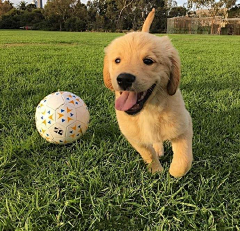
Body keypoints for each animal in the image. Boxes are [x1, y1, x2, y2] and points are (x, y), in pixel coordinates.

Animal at [103, 7, 193, 177]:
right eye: (117, 60)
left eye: (148, 61)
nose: (124, 79)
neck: (148, 111)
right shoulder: (133, 136)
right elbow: (147, 152)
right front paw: (156, 170)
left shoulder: (184, 126)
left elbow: (183, 161)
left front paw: (173, 172)